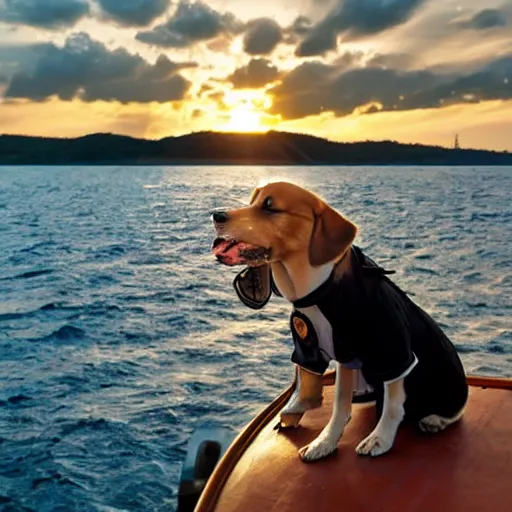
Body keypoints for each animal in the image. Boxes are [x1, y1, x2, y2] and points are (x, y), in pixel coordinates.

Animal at [209, 182, 468, 462]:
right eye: (252, 201)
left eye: (269, 206)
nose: (216, 215)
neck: (316, 291)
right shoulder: (342, 354)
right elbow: (339, 405)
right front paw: (324, 442)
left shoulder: (393, 350)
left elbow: (393, 402)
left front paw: (380, 438)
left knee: (454, 409)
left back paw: (434, 420)